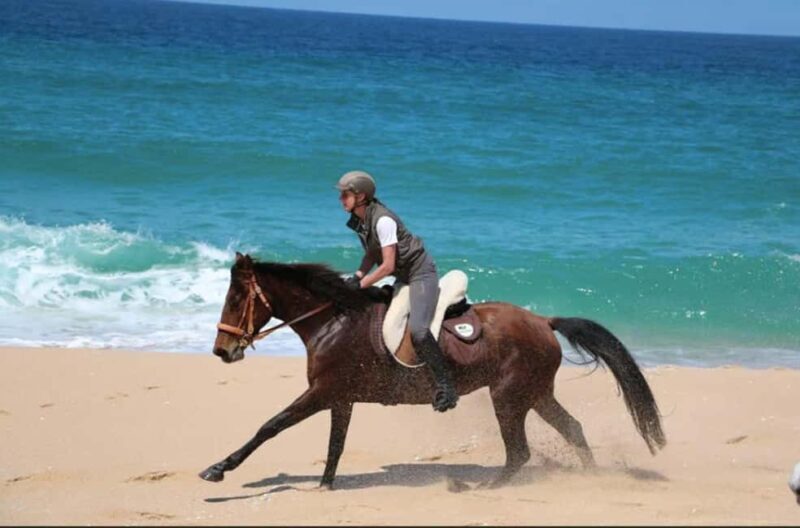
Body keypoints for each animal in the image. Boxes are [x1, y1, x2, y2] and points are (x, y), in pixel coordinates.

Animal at [199, 252, 666, 489]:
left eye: (236, 297)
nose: (222, 351)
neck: (333, 319)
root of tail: (543, 321)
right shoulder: (340, 397)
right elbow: (335, 444)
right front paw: (326, 484)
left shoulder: (322, 392)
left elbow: (270, 426)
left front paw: (219, 468)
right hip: (534, 394)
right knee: (572, 429)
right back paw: (593, 478)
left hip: (508, 396)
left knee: (520, 451)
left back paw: (488, 489)